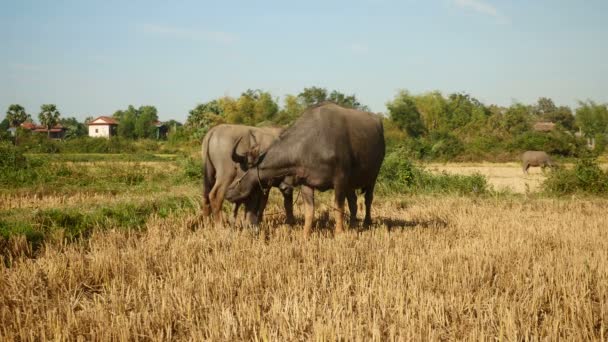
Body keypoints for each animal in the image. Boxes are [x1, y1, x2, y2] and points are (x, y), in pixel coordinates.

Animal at [226, 101, 388, 238]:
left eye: (240, 173)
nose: (228, 193)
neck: (311, 145)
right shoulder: (306, 183)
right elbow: (309, 211)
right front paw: (305, 234)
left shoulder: (340, 180)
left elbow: (338, 207)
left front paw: (339, 233)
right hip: (351, 184)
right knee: (353, 202)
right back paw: (353, 225)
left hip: (373, 177)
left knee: (368, 200)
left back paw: (366, 223)